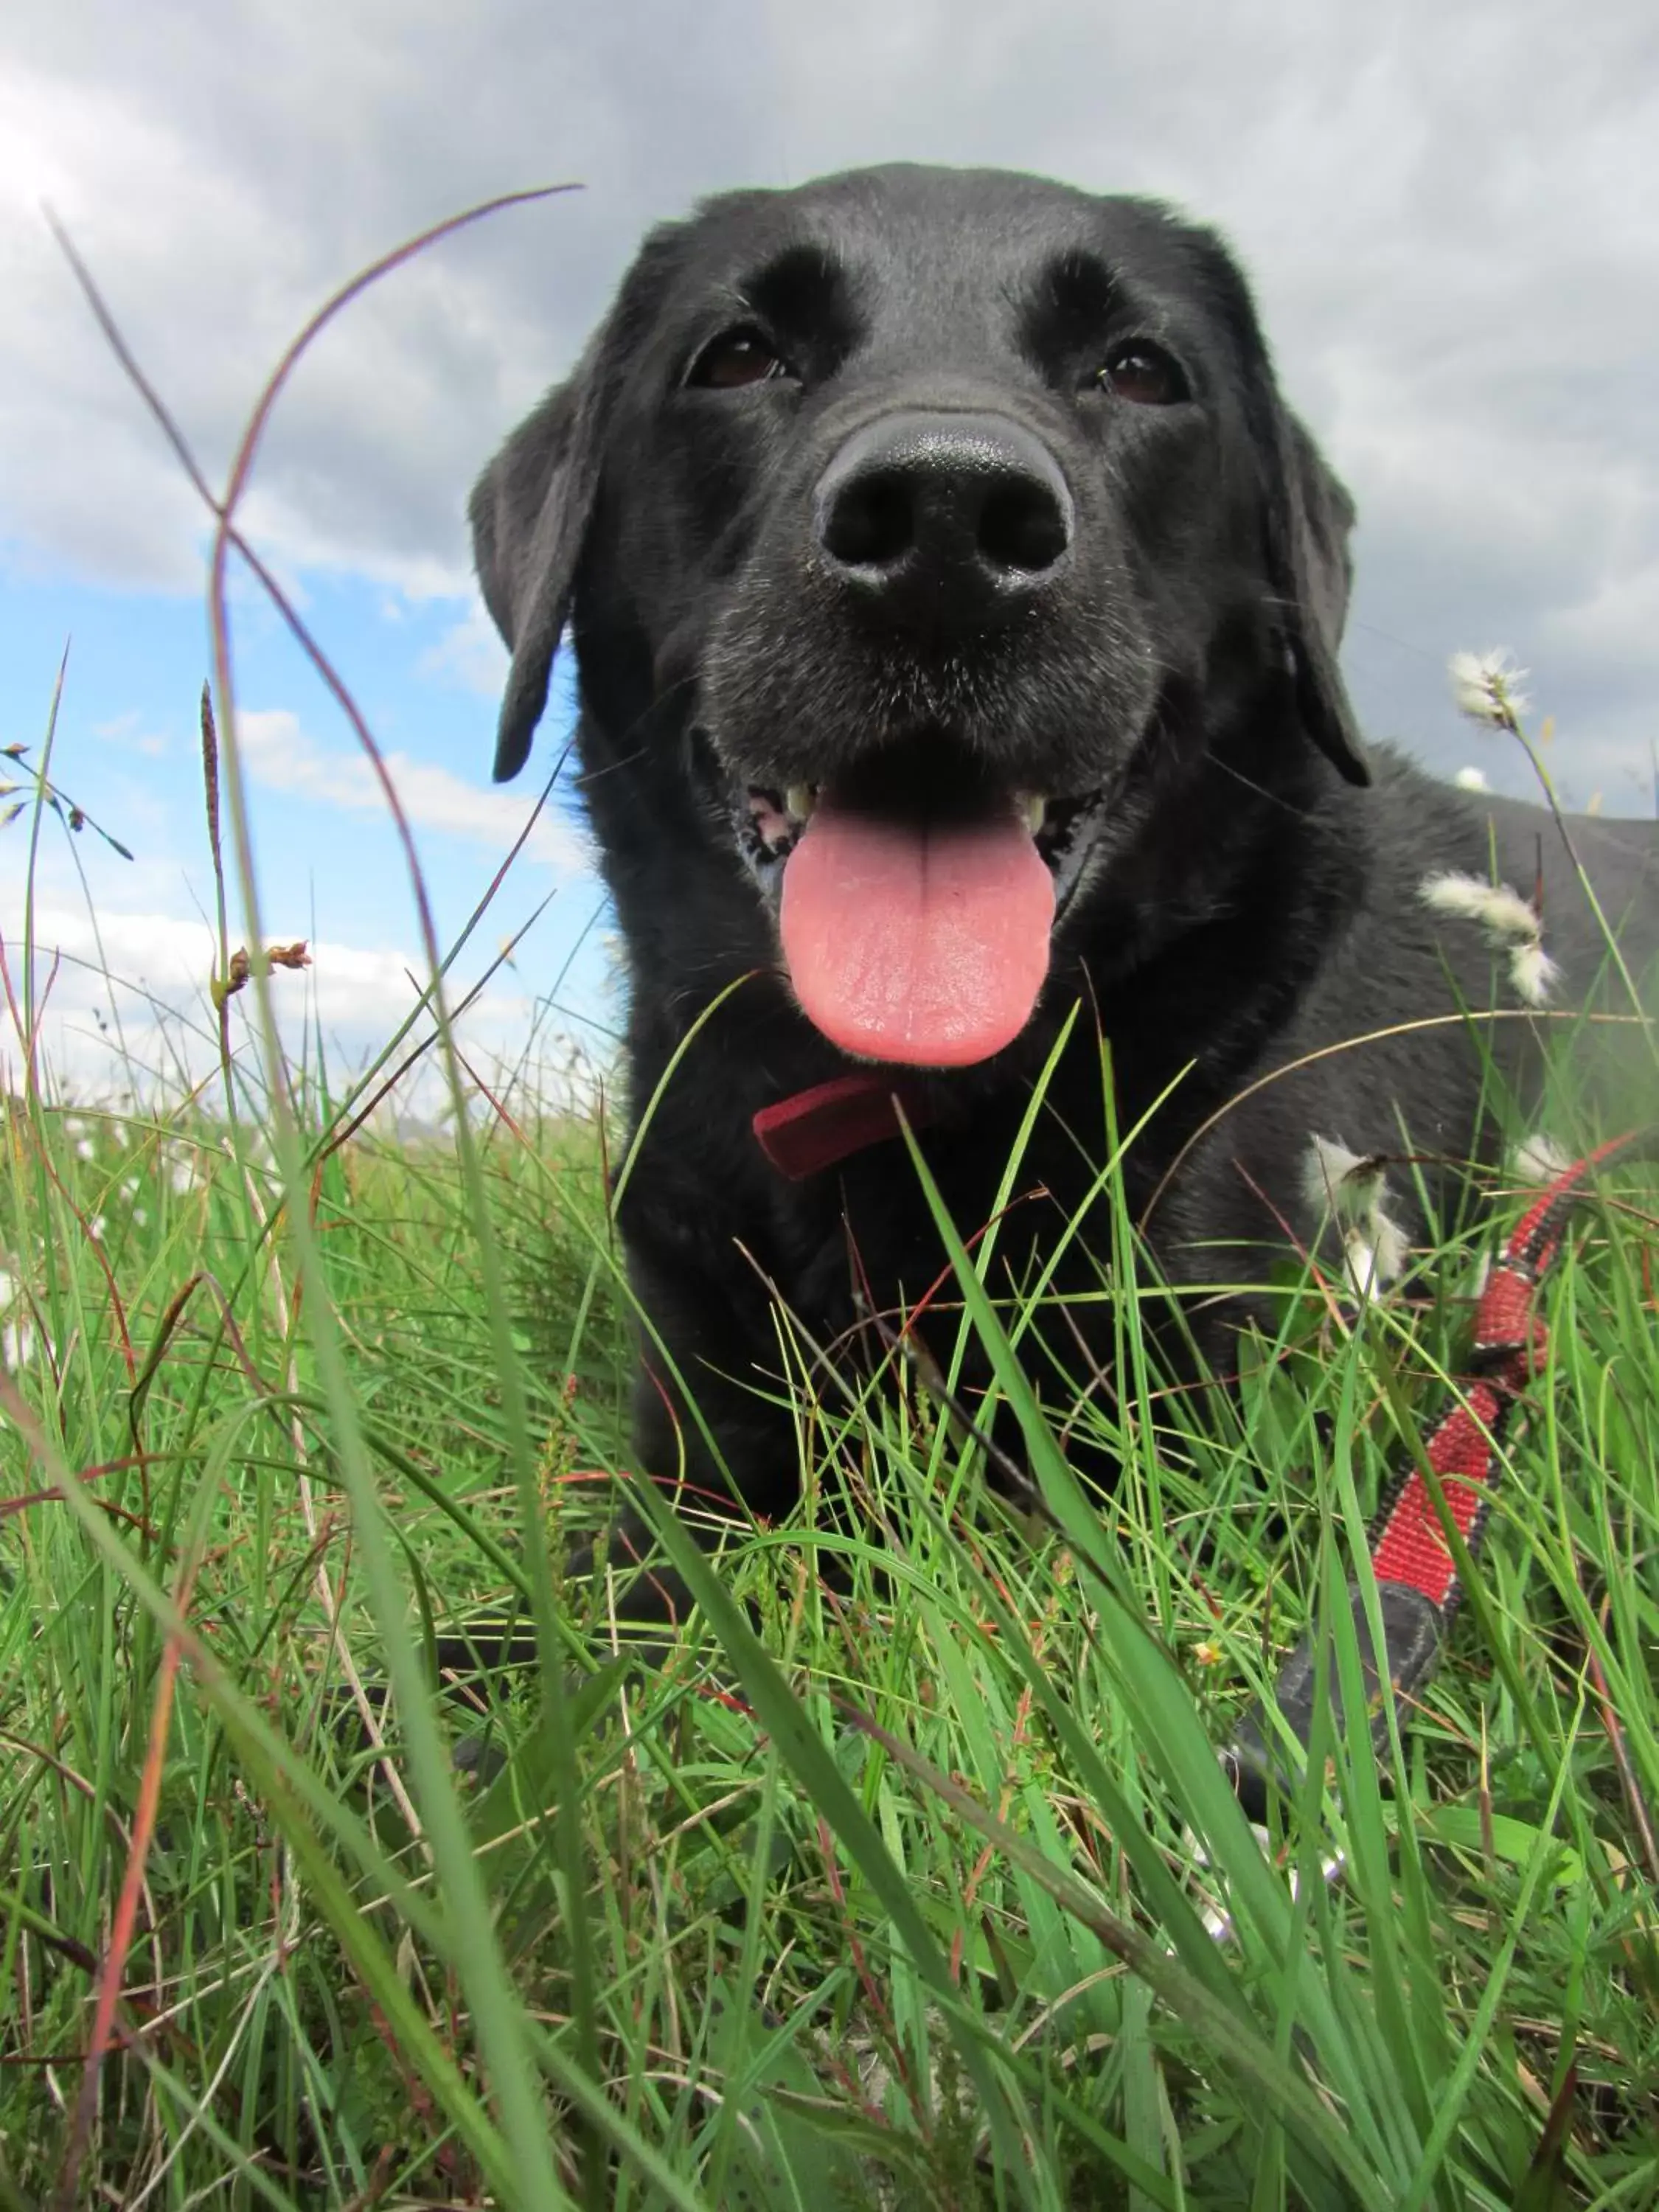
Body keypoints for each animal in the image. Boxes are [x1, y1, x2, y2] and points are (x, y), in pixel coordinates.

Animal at [469, 156, 1659, 1566]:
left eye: (1139, 371)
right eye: (740, 355)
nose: (943, 518)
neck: (903, 1103)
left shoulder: (1206, 1464)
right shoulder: (698, 1471)